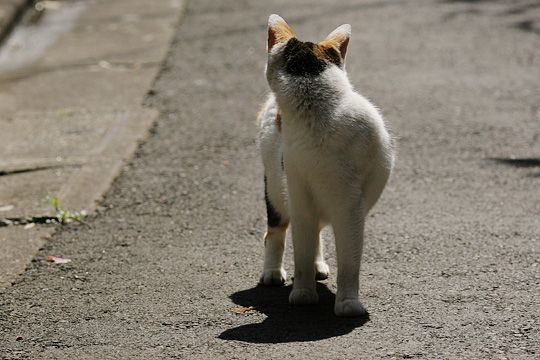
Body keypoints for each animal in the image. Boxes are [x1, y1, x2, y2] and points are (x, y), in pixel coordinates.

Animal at [258, 15, 392, 316]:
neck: (317, 112)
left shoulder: (351, 206)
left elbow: (349, 261)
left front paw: (348, 304)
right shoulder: (298, 192)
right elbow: (301, 252)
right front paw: (303, 294)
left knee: (316, 231)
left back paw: (319, 267)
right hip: (276, 188)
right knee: (275, 231)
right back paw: (272, 272)